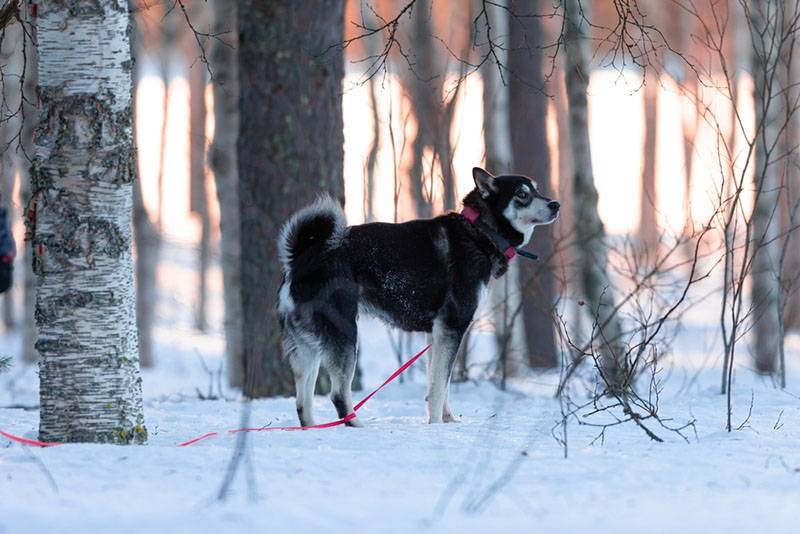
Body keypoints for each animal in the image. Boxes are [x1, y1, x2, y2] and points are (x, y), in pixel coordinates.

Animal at [278, 168, 560, 428]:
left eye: (536, 190)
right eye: (522, 194)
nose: (555, 204)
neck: (479, 231)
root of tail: (302, 258)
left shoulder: (436, 334)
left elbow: (440, 383)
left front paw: (446, 420)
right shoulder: (452, 327)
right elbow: (438, 387)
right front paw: (435, 425)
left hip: (308, 347)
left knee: (302, 402)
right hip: (345, 334)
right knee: (338, 394)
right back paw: (358, 426)